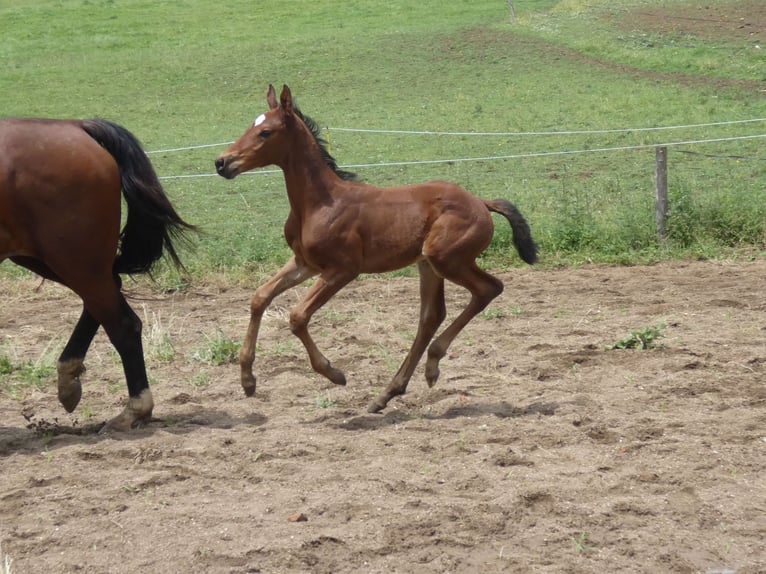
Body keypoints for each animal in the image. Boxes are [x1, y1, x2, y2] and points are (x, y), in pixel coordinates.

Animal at [0, 117, 196, 432]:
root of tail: (76, 125)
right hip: (55, 260)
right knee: (109, 293)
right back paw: (69, 379)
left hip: (73, 261)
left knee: (123, 324)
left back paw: (134, 409)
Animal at [214, 85, 540, 414]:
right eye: (250, 125)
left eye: (266, 132)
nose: (222, 163)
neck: (320, 203)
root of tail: (482, 203)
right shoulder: (304, 263)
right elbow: (260, 297)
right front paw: (247, 380)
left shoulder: (343, 269)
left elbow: (297, 316)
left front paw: (334, 373)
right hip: (428, 264)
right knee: (431, 316)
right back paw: (389, 392)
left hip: (447, 259)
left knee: (488, 289)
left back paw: (431, 364)